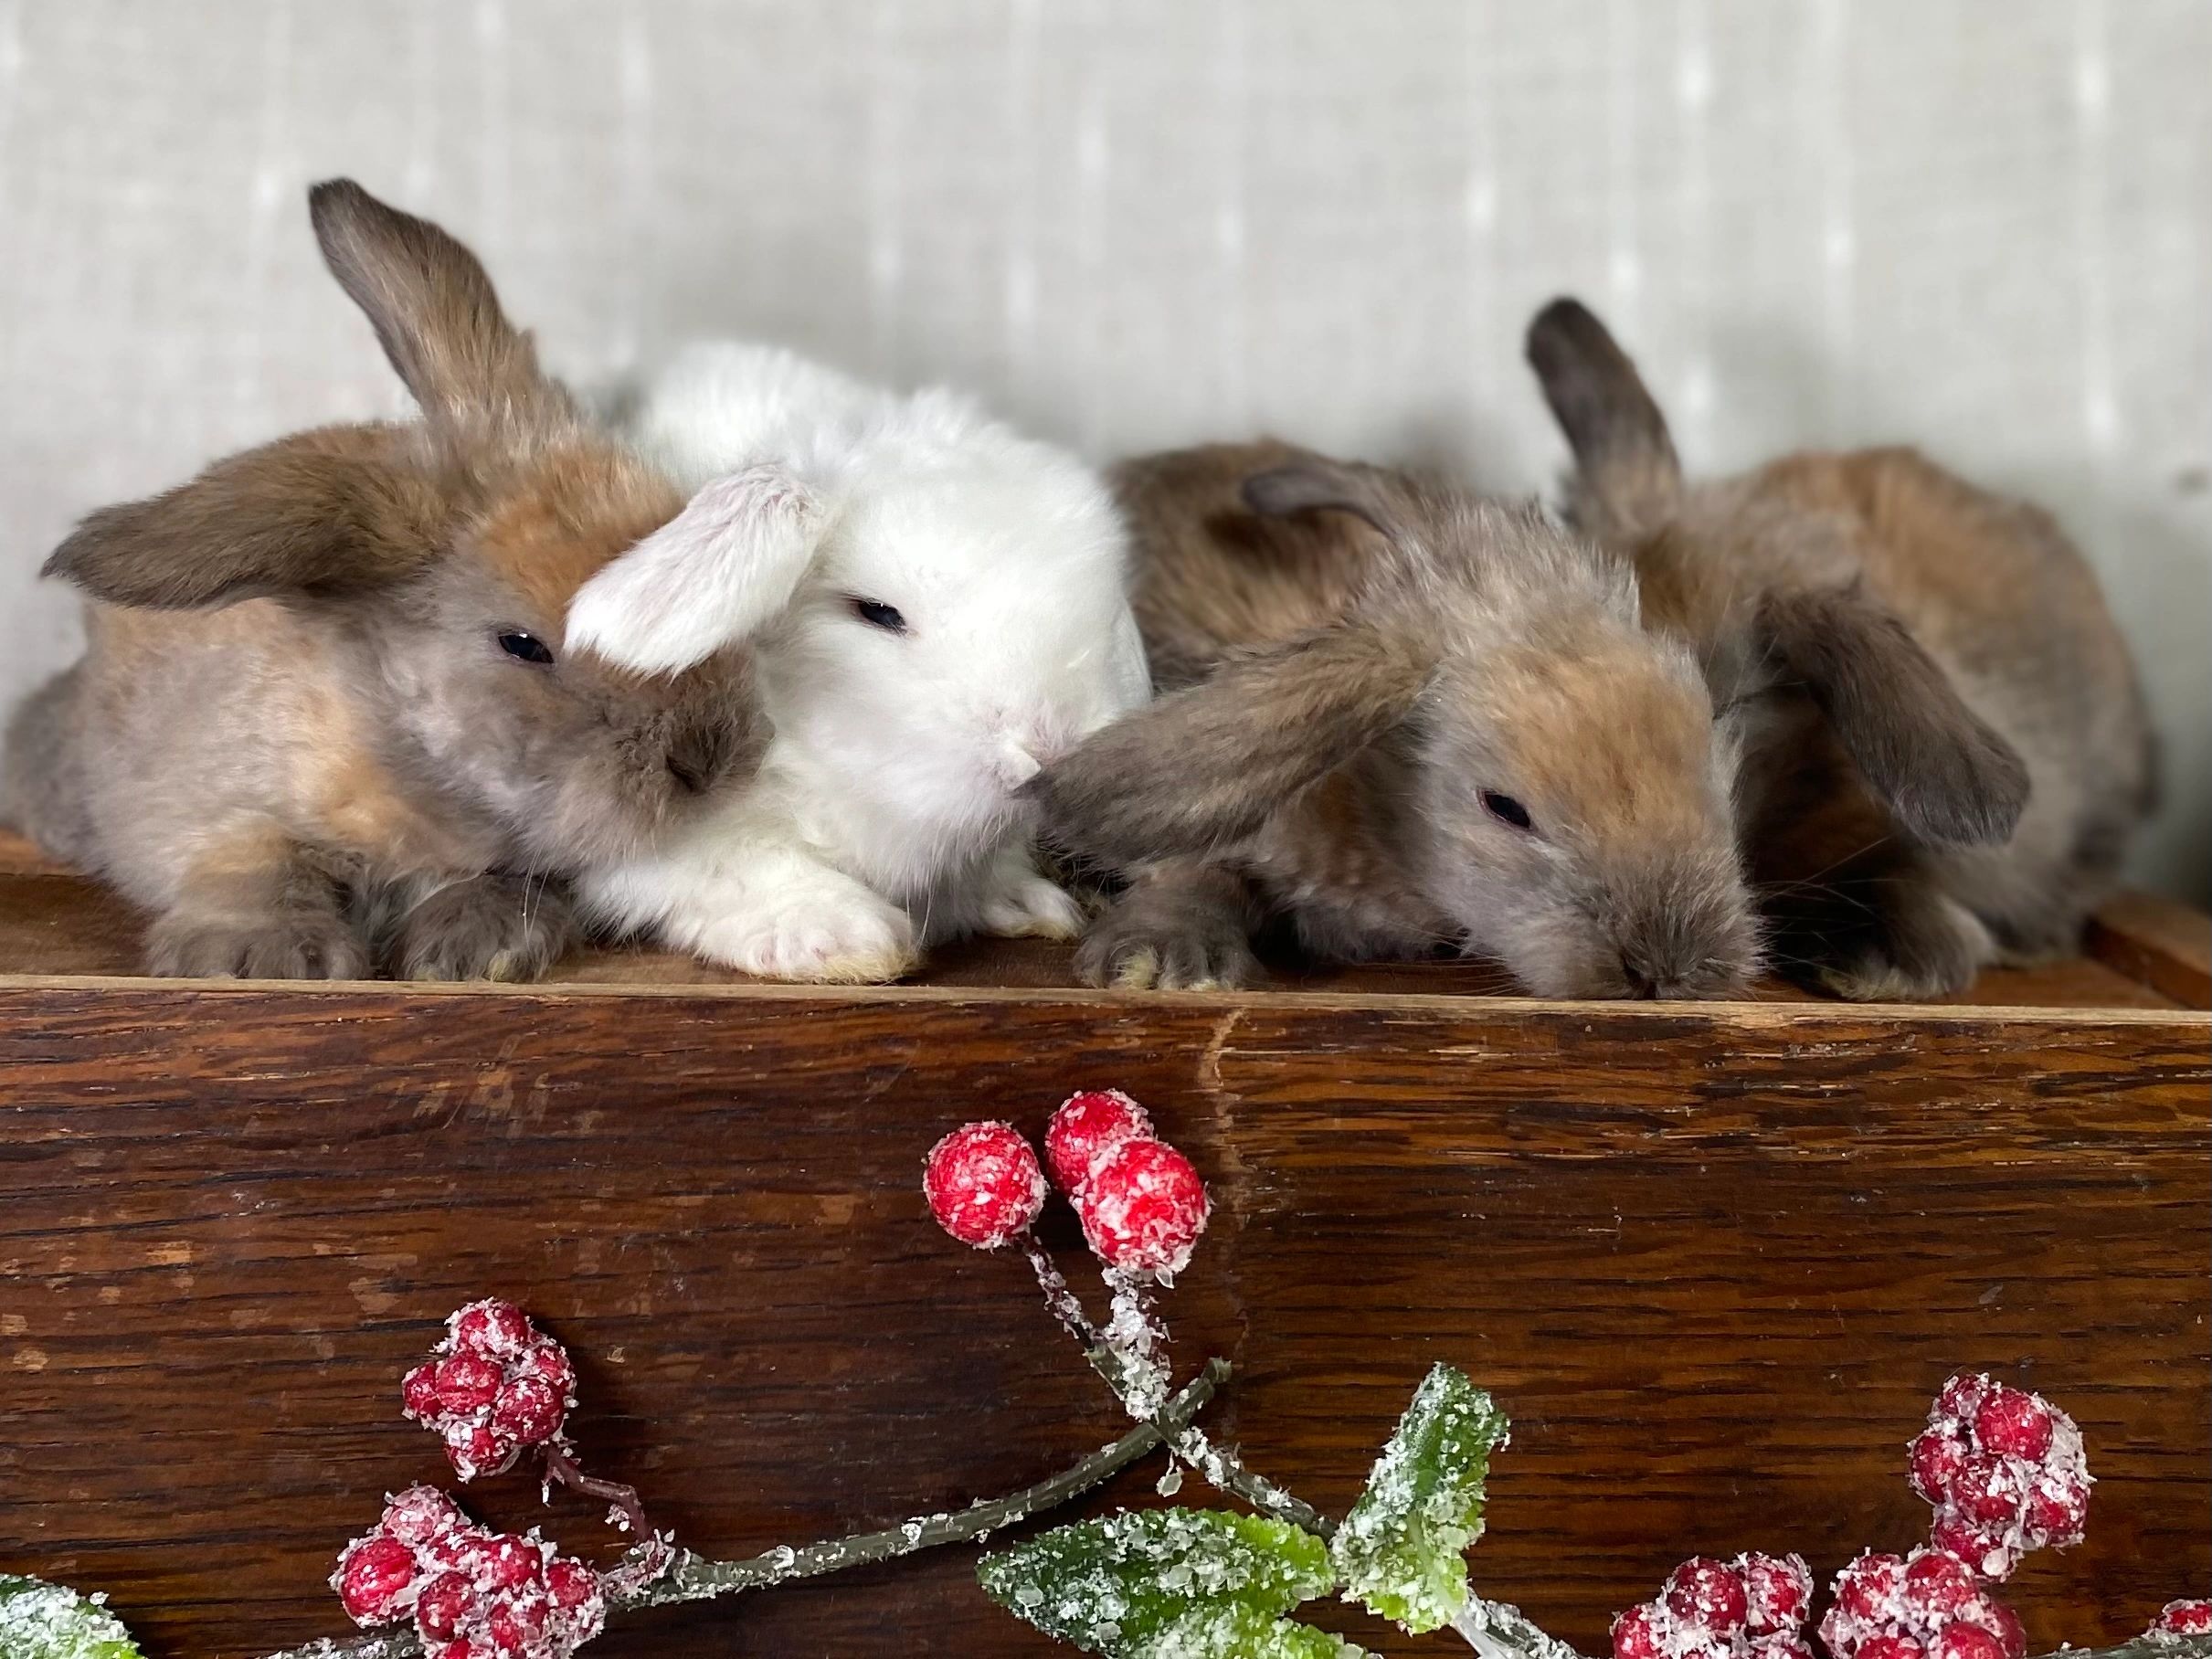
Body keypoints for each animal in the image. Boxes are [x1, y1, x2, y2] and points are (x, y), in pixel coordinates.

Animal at [0, 179, 770, 981]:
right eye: (522, 644)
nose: (711, 758)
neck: (404, 773)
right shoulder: (202, 807)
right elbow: (248, 861)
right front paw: (264, 956)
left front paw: (475, 948)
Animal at [557, 342, 1151, 982]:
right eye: (877, 612)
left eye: (1099, 616)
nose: (1046, 749)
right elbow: (738, 866)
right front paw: (844, 937)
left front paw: (1031, 905)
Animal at [1025, 440, 1764, 999]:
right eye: (1505, 809)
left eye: (1712, 769)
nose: (1668, 969)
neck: (1371, 796)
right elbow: (1188, 869)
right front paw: (1164, 960)